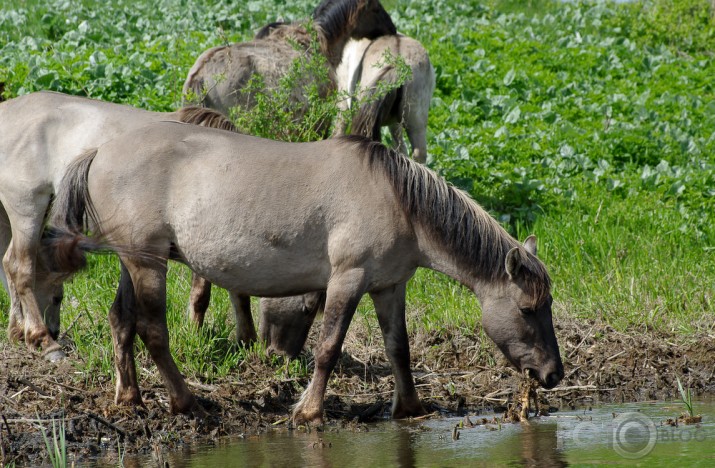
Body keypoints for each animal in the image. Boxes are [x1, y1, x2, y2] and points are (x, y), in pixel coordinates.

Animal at [49, 122, 564, 422]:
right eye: (528, 308)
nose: (553, 374)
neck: (399, 201)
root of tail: (99, 151)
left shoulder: (389, 287)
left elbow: (399, 349)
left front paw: (411, 407)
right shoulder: (348, 280)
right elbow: (328, 348)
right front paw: (308, 412)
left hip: (133, 261)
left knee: (122, 321)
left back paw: (130, 399)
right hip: (148, 264)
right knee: (154, 330)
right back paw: (185, 402)